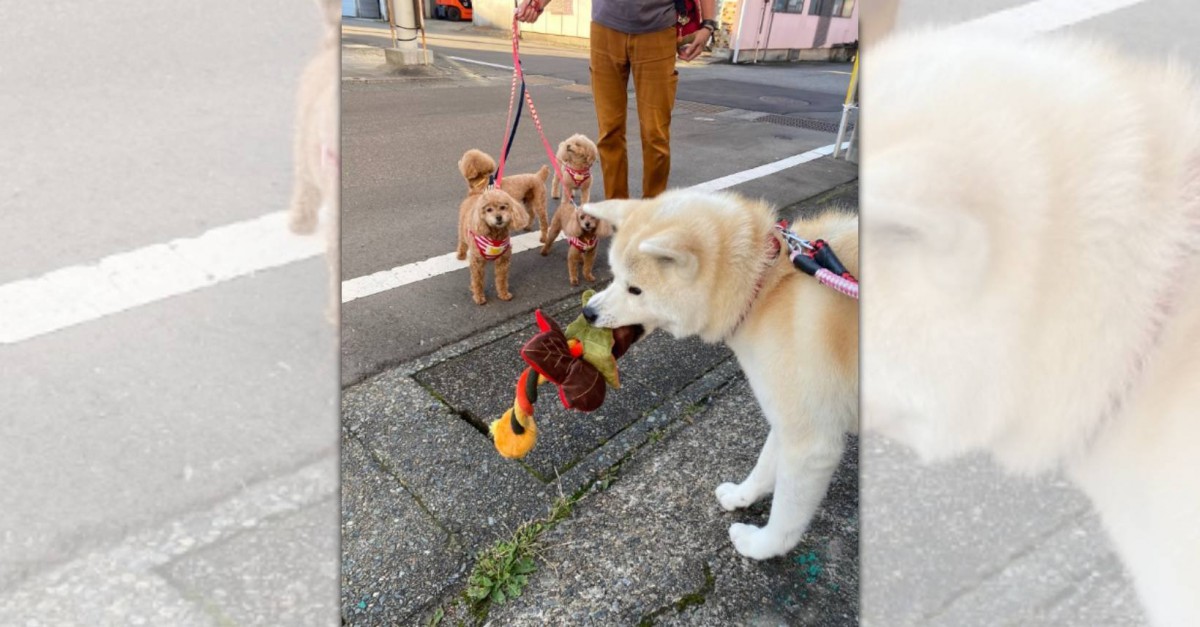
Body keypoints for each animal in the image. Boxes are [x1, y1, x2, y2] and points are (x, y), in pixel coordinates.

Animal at [583, 188, 859, 557]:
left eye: (635, 289)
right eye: (613, 276)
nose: (588, 312)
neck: (763, 285)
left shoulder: (811, 442)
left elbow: (786, 515)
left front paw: (761, 545)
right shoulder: (785, 415)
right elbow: (765, 467)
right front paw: (742, 496)